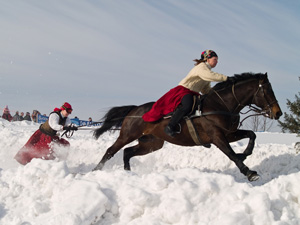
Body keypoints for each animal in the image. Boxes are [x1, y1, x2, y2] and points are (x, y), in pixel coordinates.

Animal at [92, 73, 282, 182]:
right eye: (267, 90)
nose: (278, 113)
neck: (222, 105)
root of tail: (134, 109)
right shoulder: (217, 136)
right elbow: (231, 154)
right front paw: (249, 172)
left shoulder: (230, 134)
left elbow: (251, 135)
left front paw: (245, 153)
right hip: (127, 135)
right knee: (111, 151)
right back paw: (95, 172)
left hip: (152, 143)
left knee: (127, 152)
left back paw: (128, 174)